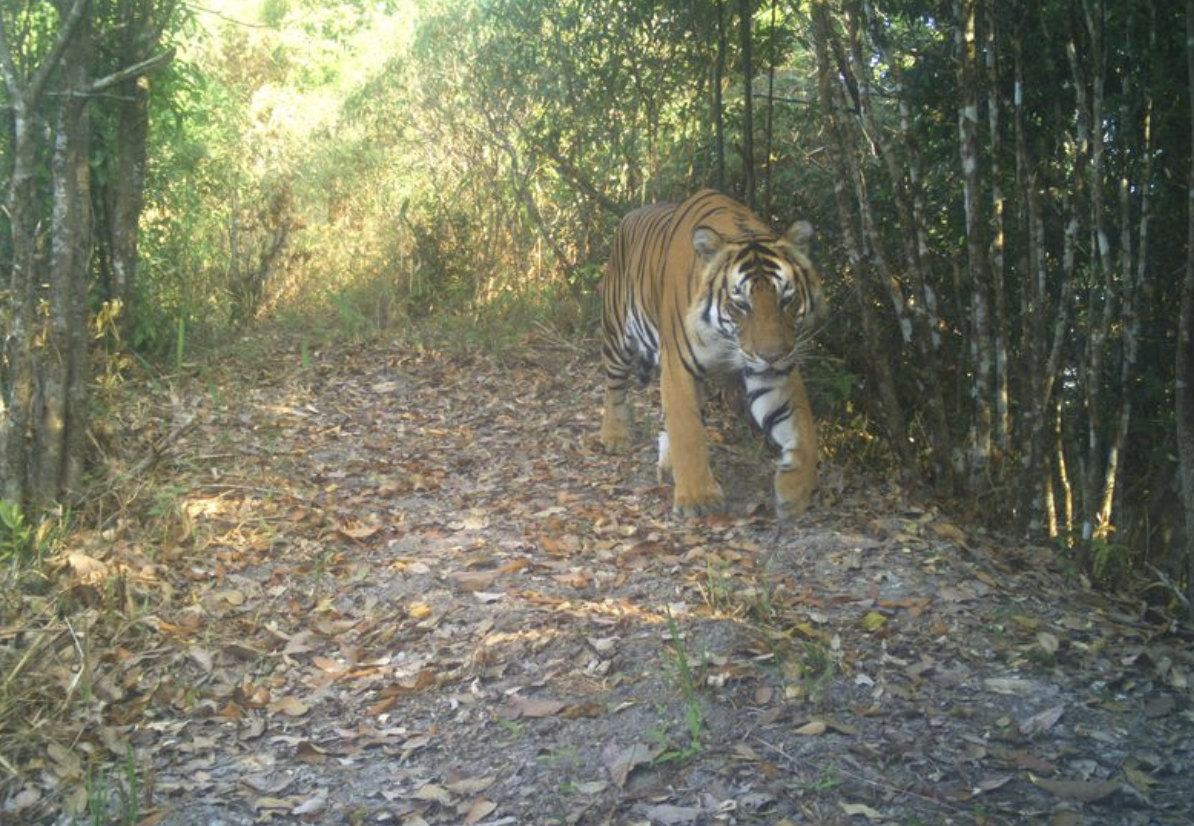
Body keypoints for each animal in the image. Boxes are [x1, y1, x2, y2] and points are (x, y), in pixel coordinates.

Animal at [599, 189, 825, 520]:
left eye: (787, 299)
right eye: (741, 304)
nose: (771, 354)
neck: (726, 338)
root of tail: (629, 215)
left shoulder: (773, 371)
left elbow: (803, 430)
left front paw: (793, 493)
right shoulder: (679, 366)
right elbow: (688, 431)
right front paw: (698, 498)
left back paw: (667, 465)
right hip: (617, 334)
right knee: (613, 386)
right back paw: (614, 437)